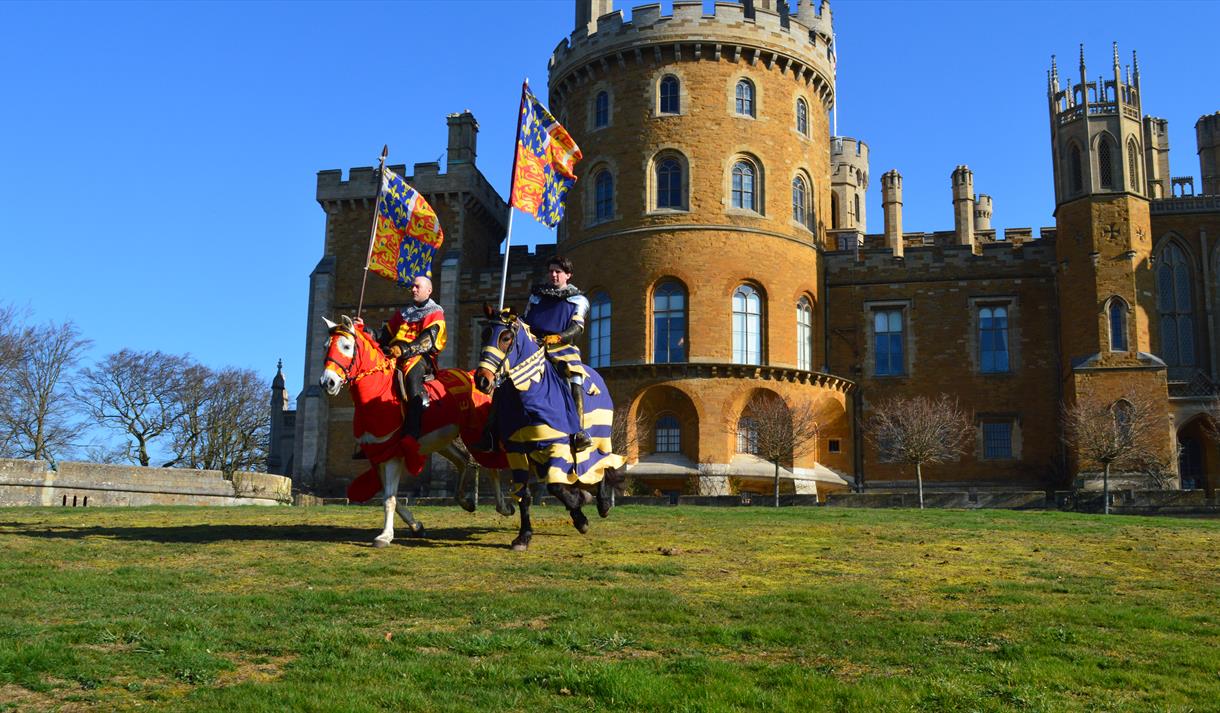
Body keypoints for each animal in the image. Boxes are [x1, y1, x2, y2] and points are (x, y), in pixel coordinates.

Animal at [317, 314, 512, 549]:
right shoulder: (379, 455)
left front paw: (385, 536)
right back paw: (465, 501)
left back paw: (503, 506)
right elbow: (387, 494)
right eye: (326, 346)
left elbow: (389, 499)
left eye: (346, 346)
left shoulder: (393, 456)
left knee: (492, 466)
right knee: (463, 460)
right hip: (442, 440)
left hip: (476, 435)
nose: (327, 382)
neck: (378, 392)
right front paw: (416, 526)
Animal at [470, 306, 624, 551]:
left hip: (600, 438)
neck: (532, 391)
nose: (482, 380)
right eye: (485, 334)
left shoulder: (556, 444)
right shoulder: (517, 449)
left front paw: (580, 515)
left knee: (600, 464)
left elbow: (556, 486)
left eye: (506, 338)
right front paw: (523, 536)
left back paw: (601, 503)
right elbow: (525, 493)